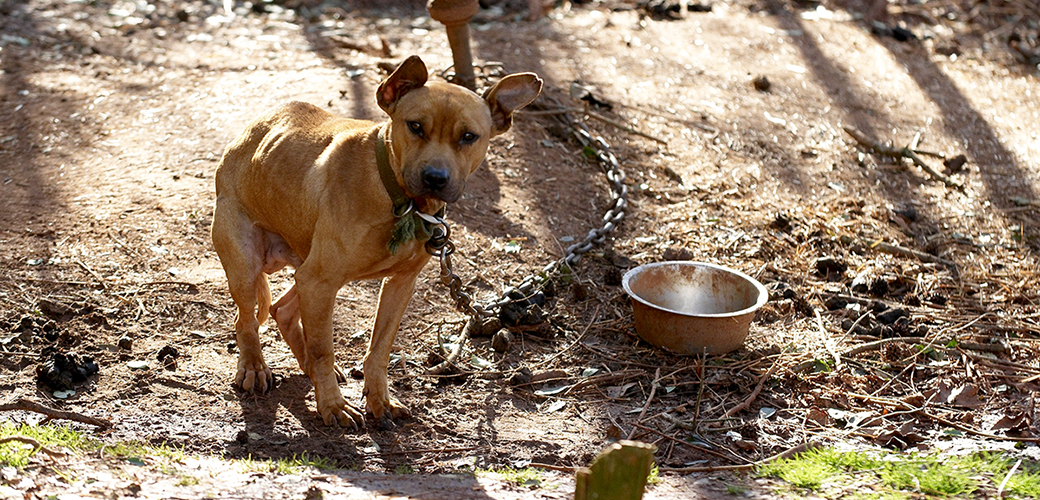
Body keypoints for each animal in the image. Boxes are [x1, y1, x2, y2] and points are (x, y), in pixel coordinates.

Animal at [208, 56, 540, 426]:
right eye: (415, 126)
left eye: (469, 136)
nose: (435, 178)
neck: (400, 198)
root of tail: (246, 135)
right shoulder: (320, 282)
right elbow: (323, 350)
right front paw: (333, 406)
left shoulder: (397, 284)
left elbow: (379, 349)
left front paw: (380, 399)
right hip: (249, 265)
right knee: (246, 320)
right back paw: (254, 368)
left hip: (309, 269)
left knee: (282, 309)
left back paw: (304, 366)